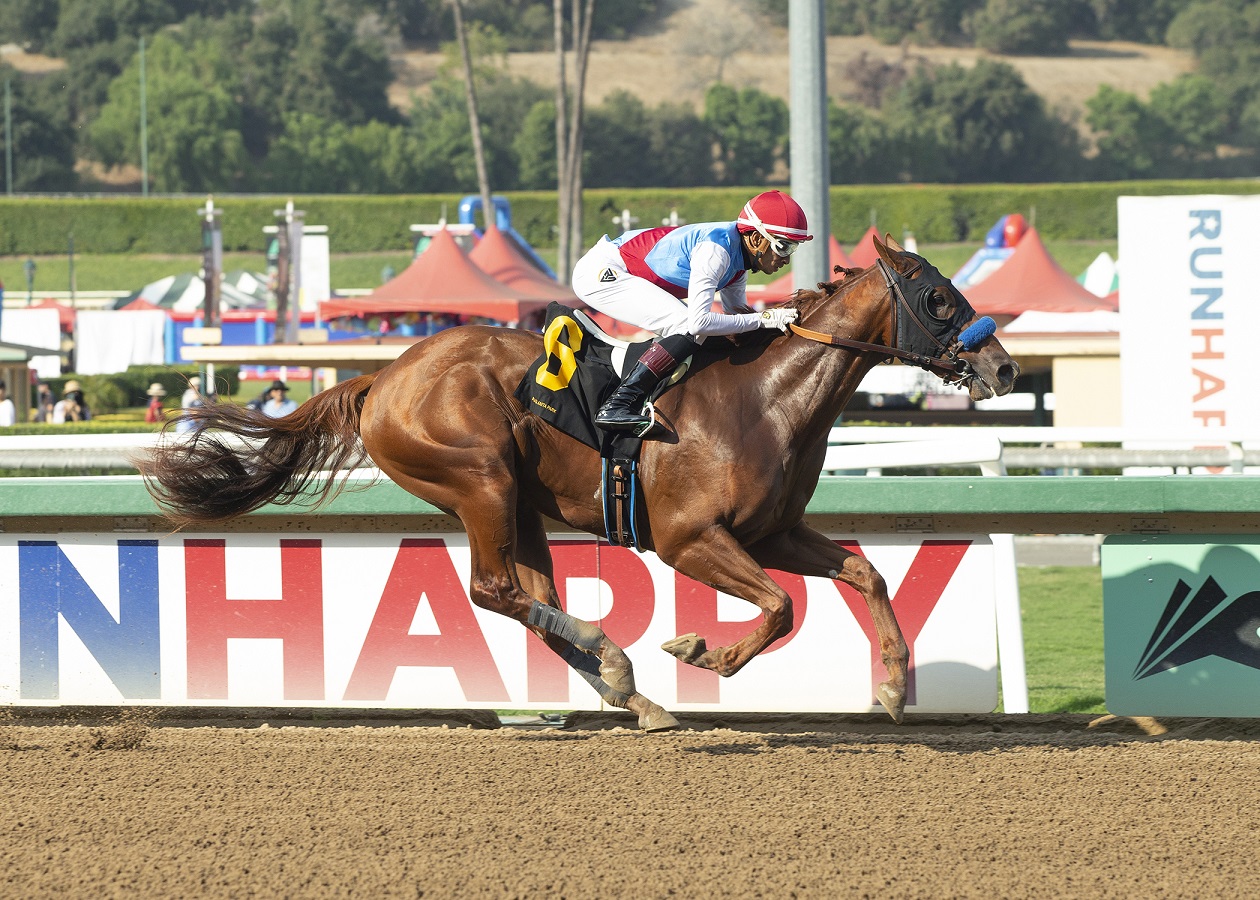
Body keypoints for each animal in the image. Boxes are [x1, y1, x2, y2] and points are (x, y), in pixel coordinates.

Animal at [137, 236, 1018, 731]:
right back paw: (619, 662)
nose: (1004, 367)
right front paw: (703, 651)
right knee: (493, 588)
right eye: (939, 297)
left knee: (528, 594)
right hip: (480, 478)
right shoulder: (689, 539)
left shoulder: (771, 532)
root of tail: (382, 376)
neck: (767, 400)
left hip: (517, 501)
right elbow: (780, 608)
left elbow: (864, 574)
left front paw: (895, 688)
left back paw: (631, 693)